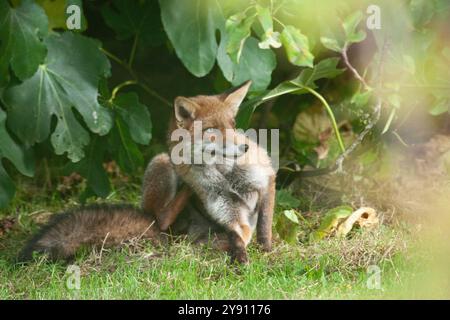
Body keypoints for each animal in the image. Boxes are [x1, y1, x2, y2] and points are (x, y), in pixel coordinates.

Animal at [18, 81, 274, 264]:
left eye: (233, 125)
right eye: (212, 131)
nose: (246, 147)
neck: (226, 174)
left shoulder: (266, 178)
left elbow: (263, 225)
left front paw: (266, 248)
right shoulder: (224, 207)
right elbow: (240, 235)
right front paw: (241, 255)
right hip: (162, 163)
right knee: (161, 219)